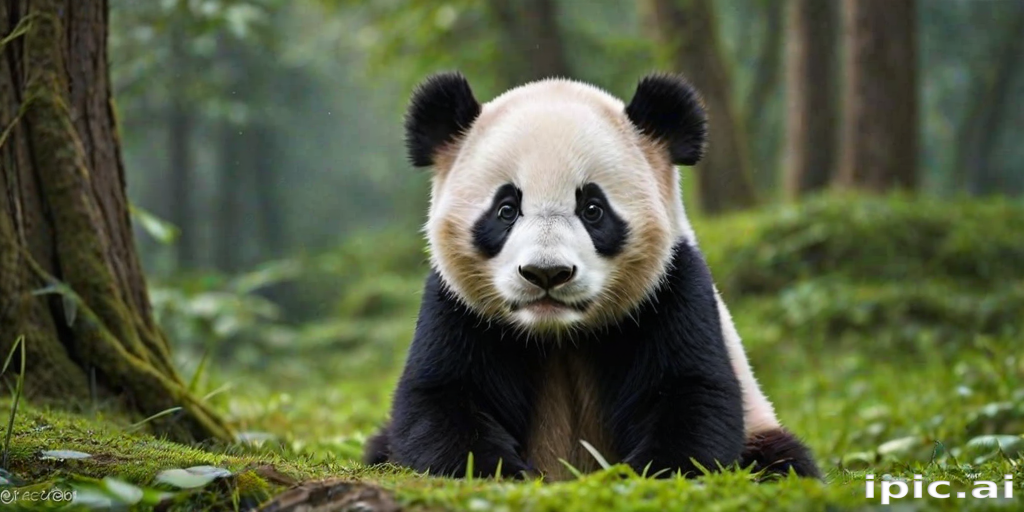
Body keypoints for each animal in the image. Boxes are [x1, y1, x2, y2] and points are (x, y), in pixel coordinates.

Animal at [363, 71, 821, 482]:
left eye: (593, 210)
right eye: (506, 209)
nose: (546, 273)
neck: (558, 334)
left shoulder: (673, 287)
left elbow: (691, 391)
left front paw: (643, 472)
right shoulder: (457, 304)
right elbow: (440, 398)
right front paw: (499, 471)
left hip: (758, 424)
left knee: (782, 459)